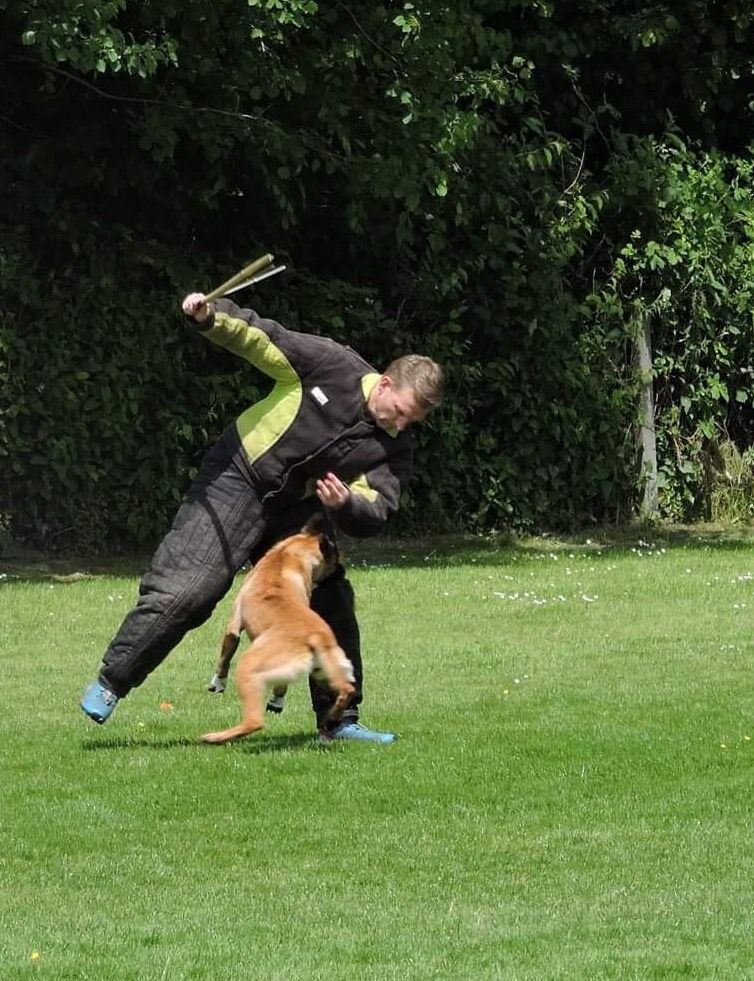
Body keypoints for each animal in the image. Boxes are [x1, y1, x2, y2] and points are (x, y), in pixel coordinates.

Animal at [200, 520, 352, 744]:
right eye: (336, 559)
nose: (342, 571)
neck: (287, 553)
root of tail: (314, 636)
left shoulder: (233, 625)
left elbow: (224, 658)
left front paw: (217, 683)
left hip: (248, 667)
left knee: (254, 722)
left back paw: (216, 737)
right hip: (326, 670)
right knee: (346, 690)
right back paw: (331, 717)